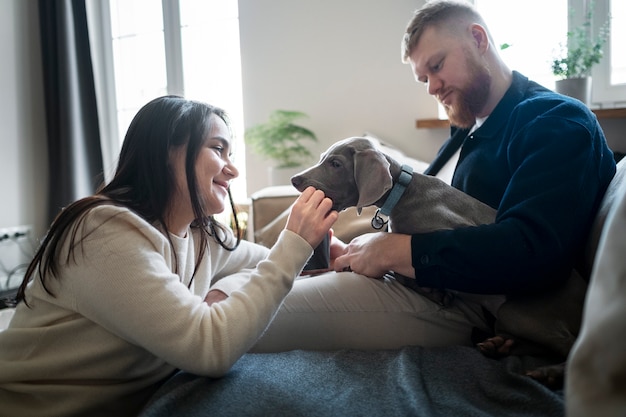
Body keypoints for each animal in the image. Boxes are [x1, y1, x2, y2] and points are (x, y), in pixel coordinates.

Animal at [290, 136, 584, 386]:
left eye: (335, 164)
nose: (295, 179)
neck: (402, 192)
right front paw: (434, 291)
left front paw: (433, 290)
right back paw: (499, 346)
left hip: (517, 311)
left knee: (570, 344)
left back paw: (549, 372)